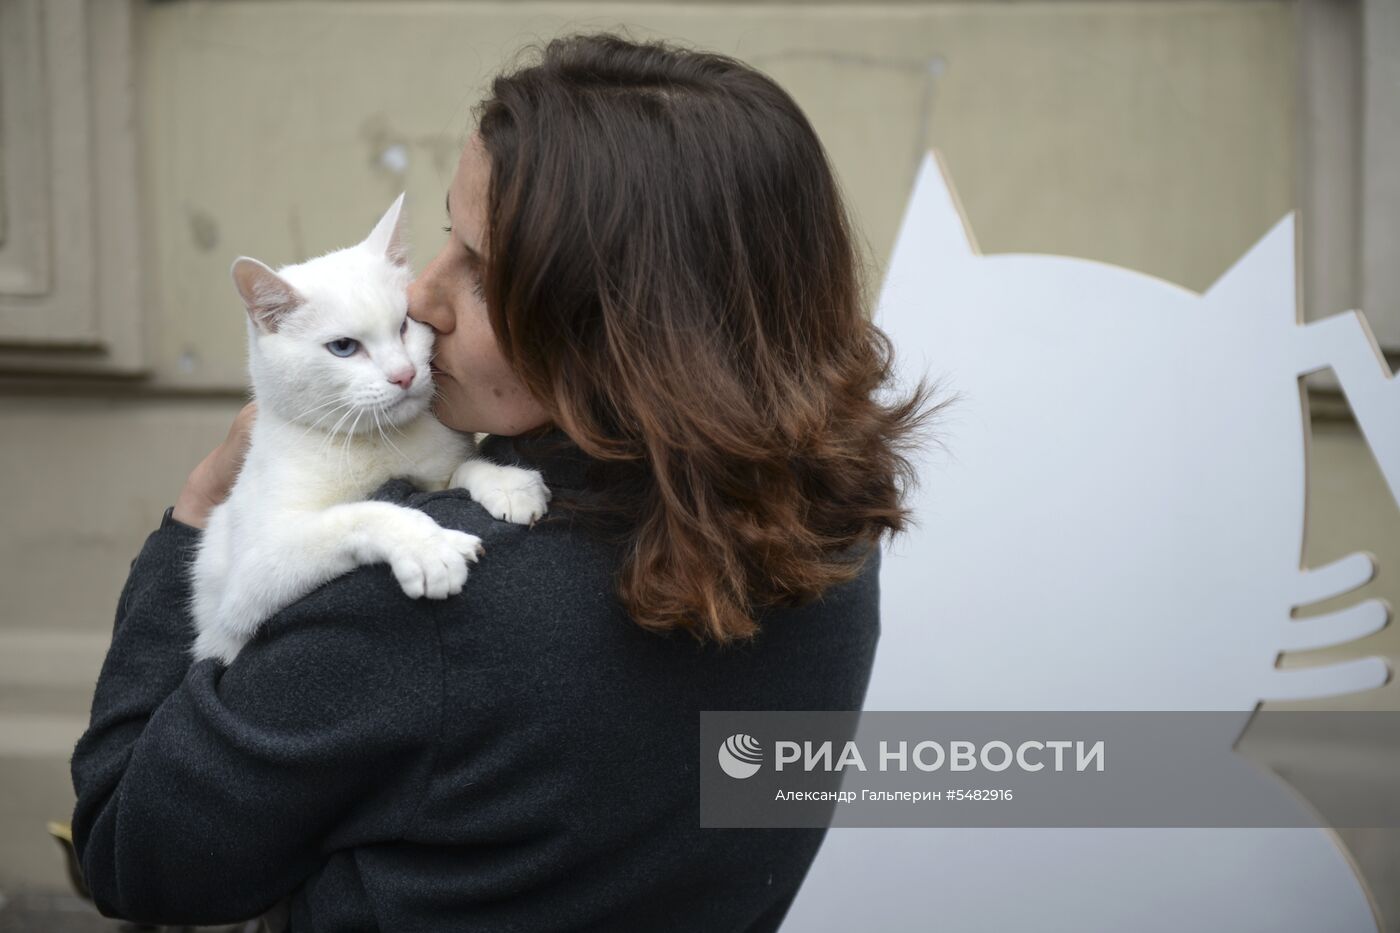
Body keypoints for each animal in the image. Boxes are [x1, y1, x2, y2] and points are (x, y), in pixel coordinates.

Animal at [189, 194, 548, 661]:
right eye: (343, 347)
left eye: (405, 325)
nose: (404, 375)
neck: (377, 441)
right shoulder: (249, 576)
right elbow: (359, 514)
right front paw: (426, 546)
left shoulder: (436, 468)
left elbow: (459, 468)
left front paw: (505, 481)